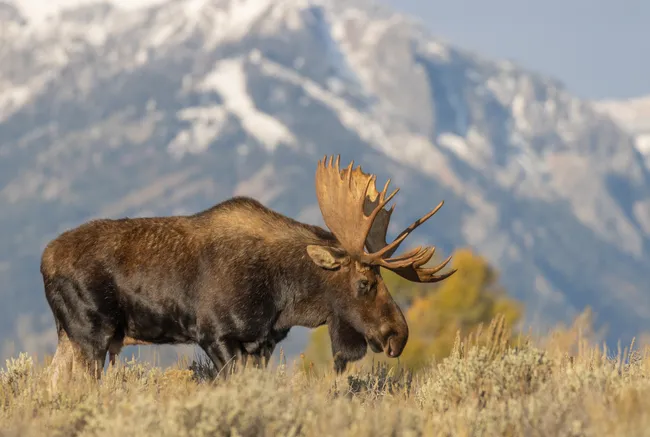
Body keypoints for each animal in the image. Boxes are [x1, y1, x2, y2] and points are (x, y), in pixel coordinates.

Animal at [41, 155, 456, 388]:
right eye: (365, 282)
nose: (398, 335)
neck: (285, 296)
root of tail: (44, 261)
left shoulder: (263, 342)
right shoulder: (215, 334)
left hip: (70, 336)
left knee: (54, 382)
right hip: (91, 334)